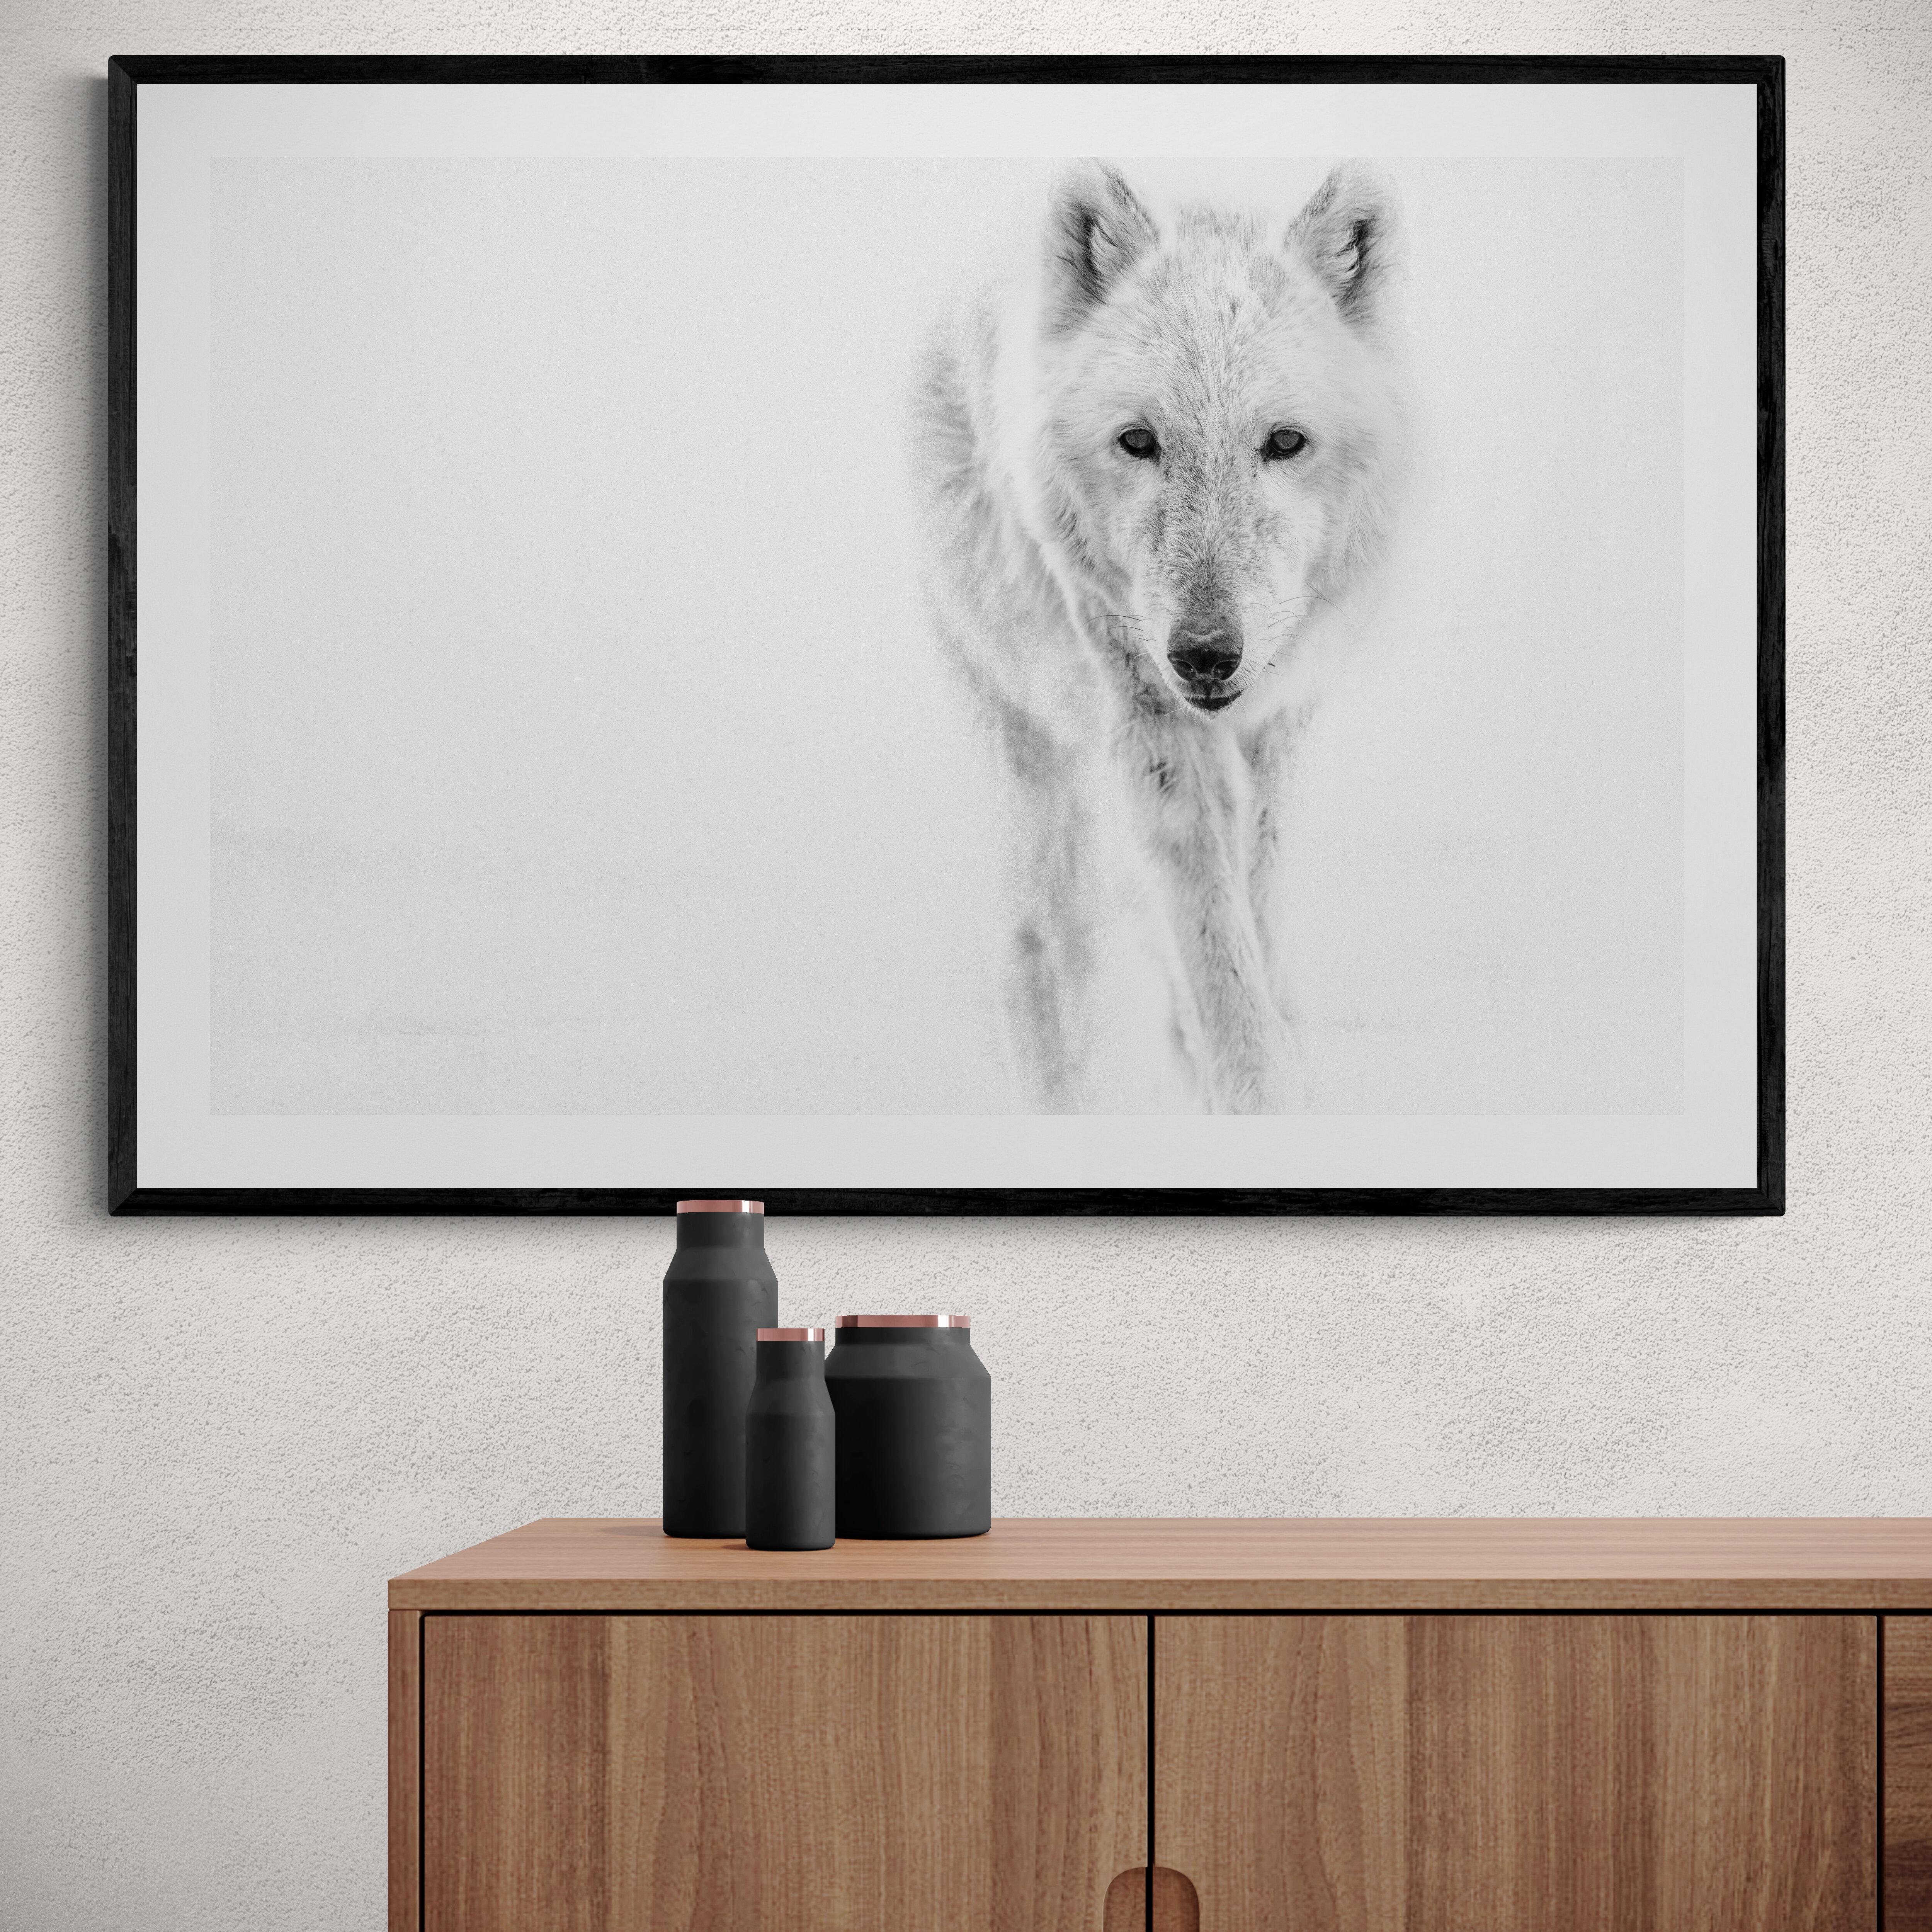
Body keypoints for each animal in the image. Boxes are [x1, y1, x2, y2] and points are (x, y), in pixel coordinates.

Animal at [910, 160, 1403, 1114]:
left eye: (1284, 442)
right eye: (1138, 441)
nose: (1204, 653)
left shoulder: (1281, 724)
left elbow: (1251, 898)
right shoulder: (1144, 708)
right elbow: (1203, 910)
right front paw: (1252, 1085)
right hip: (1029, 763)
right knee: (1036, 950)